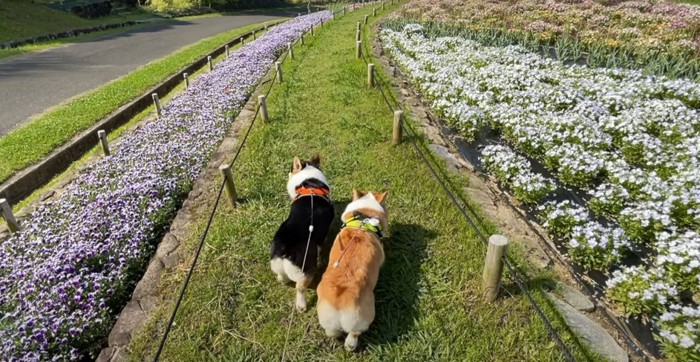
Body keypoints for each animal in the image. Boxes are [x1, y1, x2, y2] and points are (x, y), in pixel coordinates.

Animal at [270, 153, 334, 312]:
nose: (288, 172)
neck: (310, 184)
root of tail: (285, 250)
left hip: (277, 264)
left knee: (281, 277)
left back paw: (282, 280)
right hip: (306, 270)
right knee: (300, 288)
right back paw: (301, 305)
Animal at [318, 189, 388, 350]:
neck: (364, 217)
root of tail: (341, 301)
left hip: (326, 318)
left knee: (333, 332)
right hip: (365, 314)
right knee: (354, 335)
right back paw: (352, 344)